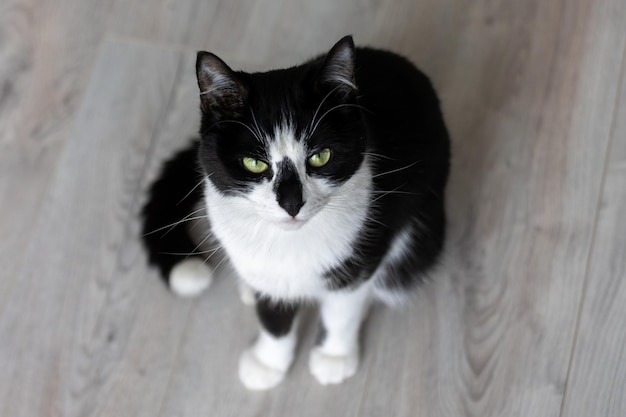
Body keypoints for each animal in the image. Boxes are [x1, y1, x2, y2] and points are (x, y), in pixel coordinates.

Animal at [141, 35, 448, 390]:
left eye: (321, 156)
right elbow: (273, 316)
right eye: (254, 163)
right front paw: (268, 362)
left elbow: (342, 308)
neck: (290, 244)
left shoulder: (364, 248)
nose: (291, 204)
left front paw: (333, 357)